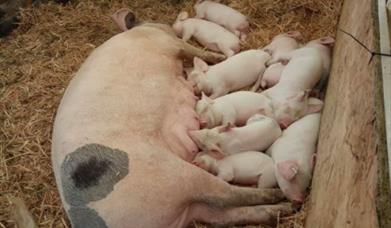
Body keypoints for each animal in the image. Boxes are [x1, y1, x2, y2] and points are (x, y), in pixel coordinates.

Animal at [50, 8, 292, 228]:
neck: (143, 30)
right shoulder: (168, 42)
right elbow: (196, 51)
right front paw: (218, 58)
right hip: (173, 174)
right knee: (227, 194)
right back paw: (281, 198)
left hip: (189, 206)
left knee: (224, 215)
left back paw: (282, 210)